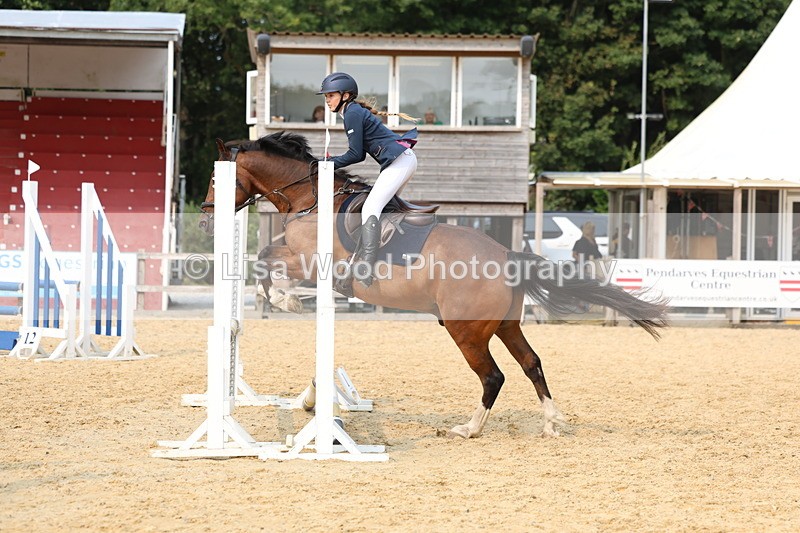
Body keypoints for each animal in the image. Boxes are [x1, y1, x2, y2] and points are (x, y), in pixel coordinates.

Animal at [200, 131, 668, 438]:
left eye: (214, 178)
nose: (205, 217)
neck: (309, 199)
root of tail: (506, 257)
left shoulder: (311, 263)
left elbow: (266, 260)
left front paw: (284, 299)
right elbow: (265, 257)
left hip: (466, 331)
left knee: (493, 376)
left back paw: (469, 429)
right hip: (504, 325)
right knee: (531, 363)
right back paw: (552, 422)